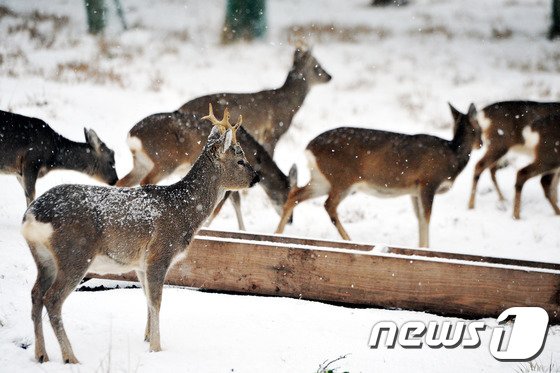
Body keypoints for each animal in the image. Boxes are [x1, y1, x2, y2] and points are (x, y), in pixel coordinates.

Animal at [20, 105, 260, 364]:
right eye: (240, 160)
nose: (257, 177)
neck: (184, 209)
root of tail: (31, 216)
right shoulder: (160, 253)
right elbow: (156, 301)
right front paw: (156, 348)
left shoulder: (141, 263)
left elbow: (146, 298)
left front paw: (146, 338)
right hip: (75, 253)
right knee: (52, 299)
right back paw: (70, 357)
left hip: (43, 258)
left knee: (35, 294)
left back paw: (41, 354)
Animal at [115, 107, 298, 228]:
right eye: (285, 196)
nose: (290, 221)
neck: (255, 157)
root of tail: (132, 136)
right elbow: (224, 203)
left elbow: (236, 202)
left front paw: (243, 230)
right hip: (165, 162)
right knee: (146, 181)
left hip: (141, 164)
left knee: (121, 182)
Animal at [274, 103, 480, 247]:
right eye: (478, 128)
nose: (481, 143)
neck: (452, 155)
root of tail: (309, 148)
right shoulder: (429, 182)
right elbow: (426, 218)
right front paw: (426, 249)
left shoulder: (414, 191)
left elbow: (420, 219)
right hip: (342, 179)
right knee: (328, 205)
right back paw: (349, 240)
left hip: (321, 178)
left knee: (295, 195)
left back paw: (277, 233)